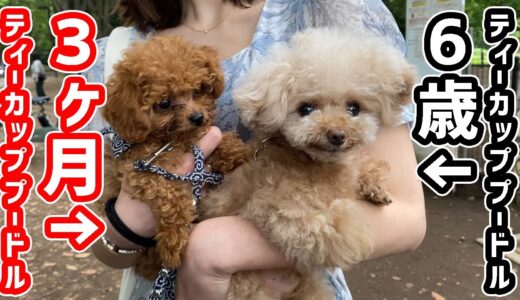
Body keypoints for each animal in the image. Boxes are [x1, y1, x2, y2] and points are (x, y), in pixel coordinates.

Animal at [100, 35, 253, 278]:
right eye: (164, 104)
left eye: (197, 90)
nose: (198, 117)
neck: (170, 139)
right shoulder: (141, 171)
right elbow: (172, 196)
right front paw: (174, 242)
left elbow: (220, 142)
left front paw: (239, 152)